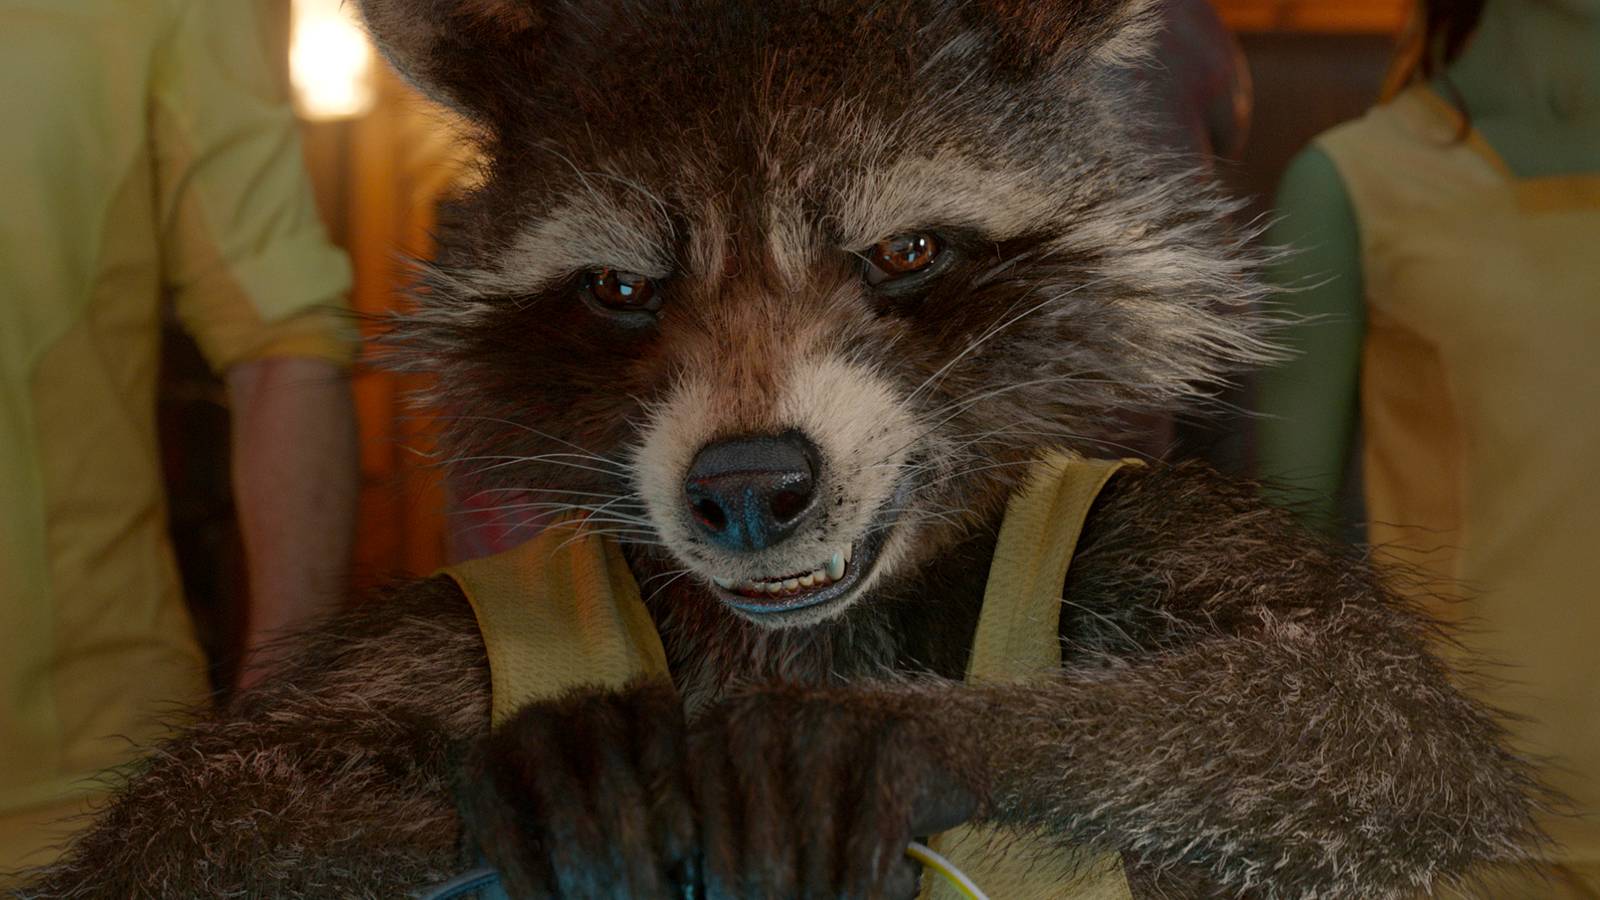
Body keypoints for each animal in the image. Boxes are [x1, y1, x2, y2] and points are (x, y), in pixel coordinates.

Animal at [17, 1, 1543, 898]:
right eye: (623, 290)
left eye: (906, 252)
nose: (747, 486)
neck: (803, 632)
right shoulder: (456, 617)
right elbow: (190, 825)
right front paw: (522, 764)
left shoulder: (1131, 519)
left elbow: (1383, 717)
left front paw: (914, 728)